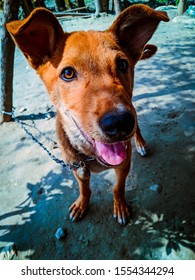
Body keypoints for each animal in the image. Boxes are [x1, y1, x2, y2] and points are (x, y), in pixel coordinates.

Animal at [6, 3, 169, 225]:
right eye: (67, 73)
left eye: (122, 65)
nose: (119, 123)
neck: (90, 156)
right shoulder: (77, 169)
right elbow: (85, 189)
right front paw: (82, 204)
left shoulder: (124, 163)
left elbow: (118, 188)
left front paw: (120, 206)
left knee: (138, 126)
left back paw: (141, 143)